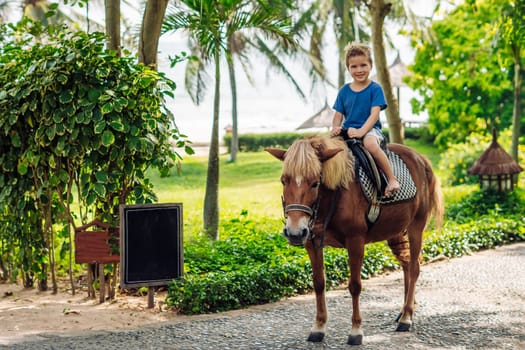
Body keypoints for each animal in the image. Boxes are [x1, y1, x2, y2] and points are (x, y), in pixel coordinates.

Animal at [266, 135, 442, 346]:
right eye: (284, 181)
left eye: (315, 183)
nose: (294, 232)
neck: (331, 198)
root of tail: (420, 158)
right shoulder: (311, 242)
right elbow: (318, 283)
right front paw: (319, 327)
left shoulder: (355, 241)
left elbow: (355, 286)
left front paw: (356, 330)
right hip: (396, 231)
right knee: (407, 265)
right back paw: (406, 310)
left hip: (416, 225)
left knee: (414, 267)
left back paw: (406, 317)